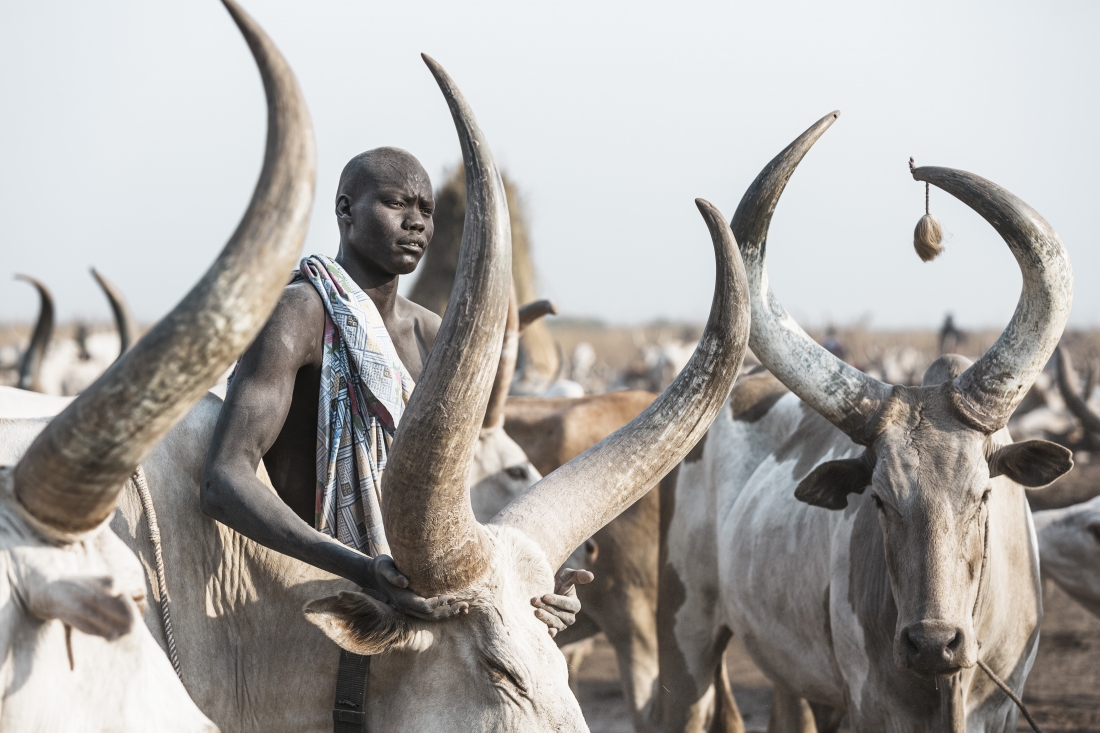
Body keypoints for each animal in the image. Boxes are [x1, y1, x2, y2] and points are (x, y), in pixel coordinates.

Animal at [650, 111, 1074, 732]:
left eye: (983, 496)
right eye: (877, 498)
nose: (933, 642)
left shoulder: (1001, 707)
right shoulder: (874, 704)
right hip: (687, 636)